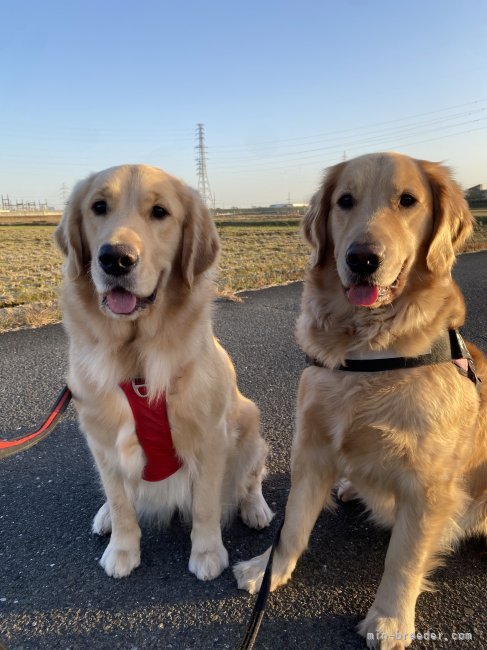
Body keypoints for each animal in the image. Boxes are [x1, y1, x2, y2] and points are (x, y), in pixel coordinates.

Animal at [55, 165, 274, 580]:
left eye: (160, 212)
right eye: (98, 207)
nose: (116, 259)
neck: (136, 358)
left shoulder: (210, 438)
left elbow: (205, 505)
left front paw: (207, 553)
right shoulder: (101, 439)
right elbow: (121, 502)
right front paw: (122, 548)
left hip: (250, 423)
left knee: (252, 479)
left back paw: (256, 509)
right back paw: (104, 516)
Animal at [234, 152, 486, 644]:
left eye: (408, 200)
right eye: (345, 201)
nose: (362, 259)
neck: (368, 352)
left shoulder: (429, 484)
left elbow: (404, 558)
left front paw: (390, 618)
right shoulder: (311, 448)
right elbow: (292, 524)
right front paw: (266, 570)